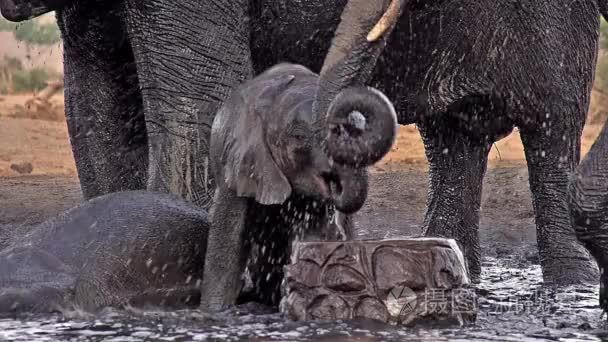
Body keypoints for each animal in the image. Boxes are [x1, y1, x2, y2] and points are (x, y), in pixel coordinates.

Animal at [201, 63, 400, 310]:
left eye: (358, 129)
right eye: (298, 137)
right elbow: (227, 244)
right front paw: (214, 310)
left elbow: (314, 238)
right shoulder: (237, 164)